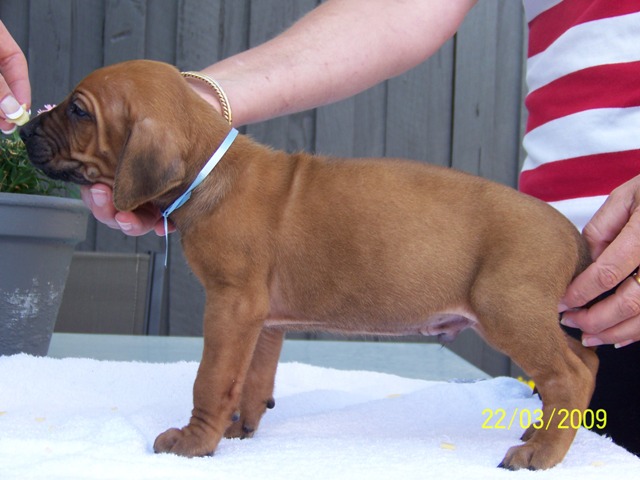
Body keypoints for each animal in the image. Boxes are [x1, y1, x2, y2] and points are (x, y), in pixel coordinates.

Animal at [20, 59, 598, 470]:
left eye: (78, 111)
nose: (23, 131)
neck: (210, 172)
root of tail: (571, 232)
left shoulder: (231, 303)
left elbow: (211, 378)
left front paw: (194, 442)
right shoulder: (261, 318)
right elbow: (251, 378)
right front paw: (240, 429)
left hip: (507, 309)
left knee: (568, 374)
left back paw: (542, 453)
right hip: (530, 316)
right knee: (584, 362)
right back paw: (544, 431)